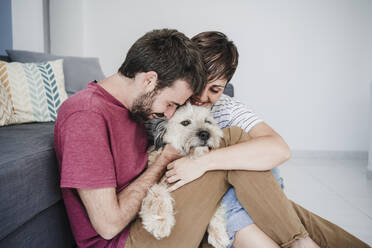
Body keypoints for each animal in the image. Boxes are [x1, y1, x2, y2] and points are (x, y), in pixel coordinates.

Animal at [140, 102, 231, 248]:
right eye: (186, 122)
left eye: (207, 121)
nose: (205, 134)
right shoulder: (156, 182)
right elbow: (158, 194)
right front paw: (160, 222)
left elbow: (216, 207)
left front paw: (218, 233)